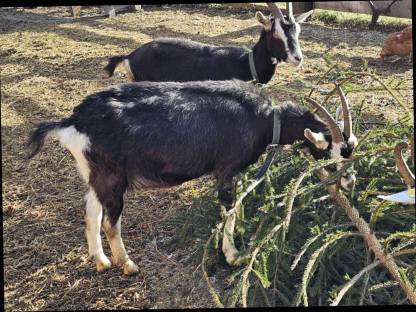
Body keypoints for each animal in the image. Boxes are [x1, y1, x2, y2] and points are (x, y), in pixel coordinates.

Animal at [26, 79, 358, 274]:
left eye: (351, 148)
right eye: (334, 154)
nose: (351, 182)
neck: (264, 119)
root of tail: (74, 120)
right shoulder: (226, 170)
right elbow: (229, 208)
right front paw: (233, 255)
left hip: (97, 176)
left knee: (91, 215)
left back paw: (101, 261)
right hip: (113, 179)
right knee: (109, 222)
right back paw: (128, 264)